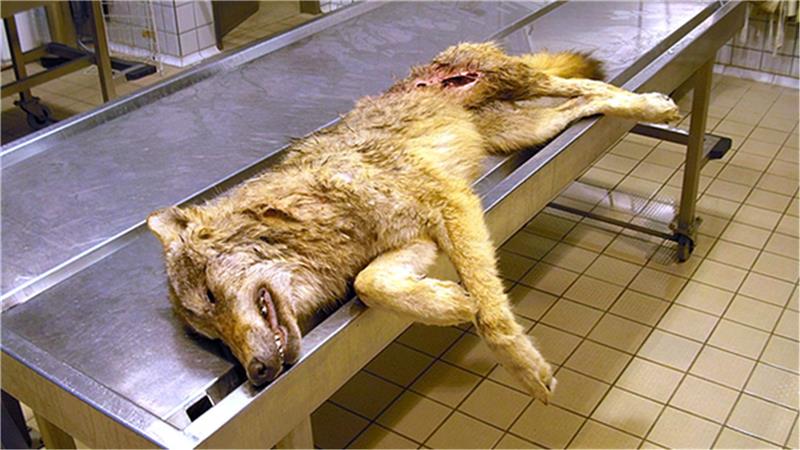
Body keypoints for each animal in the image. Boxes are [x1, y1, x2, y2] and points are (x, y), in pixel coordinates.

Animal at [148, 42, 679, 403]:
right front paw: (449, 302)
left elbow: (493, 315)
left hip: (526, 84)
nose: (258, 374)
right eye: (213, 339)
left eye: (211, 296)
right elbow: (370, 283)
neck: (318, 211)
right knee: (583, 103)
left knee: (589, 85)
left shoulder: (452, 204)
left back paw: (654, 105)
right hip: (526, 129)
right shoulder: (416, 239)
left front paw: (525, 369)